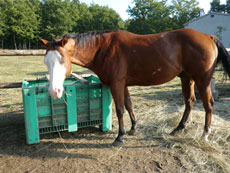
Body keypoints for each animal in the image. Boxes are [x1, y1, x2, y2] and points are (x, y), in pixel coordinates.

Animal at [38, 28, 230, 147]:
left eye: (62, 60)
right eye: (46, 61)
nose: (54, 91)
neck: (103, 49)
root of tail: (208, 36)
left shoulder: (116, 84)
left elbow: (119, 109)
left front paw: (119, 136)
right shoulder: (123, 84)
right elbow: (129, 105)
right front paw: (133, 128)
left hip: (202, 80)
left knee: (208, 104)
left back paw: (205, 134)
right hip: (187, 78)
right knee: (189, 101)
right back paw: (178, 128)